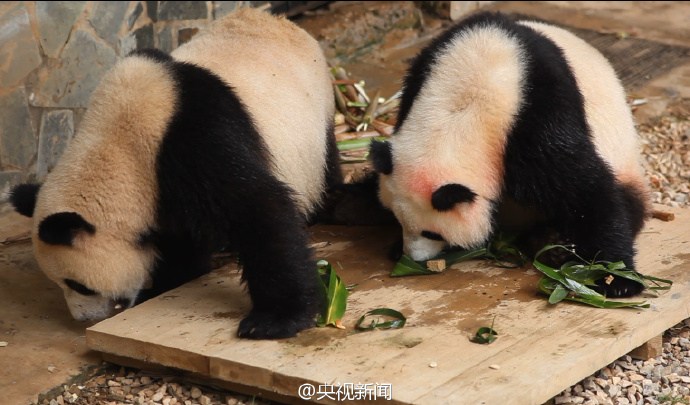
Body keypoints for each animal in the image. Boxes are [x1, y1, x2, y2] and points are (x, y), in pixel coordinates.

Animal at [8, 7, 342, 340]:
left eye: (79, 285)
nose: (82, 318)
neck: (117, 149)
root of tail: (279, 20)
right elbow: (177, 236)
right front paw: (170, 278)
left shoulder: (194, 142)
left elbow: (259, 208)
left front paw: (275, 319)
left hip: (315, 125)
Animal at [368, 11, 648, 296]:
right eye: (398, 220)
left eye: (433, 233)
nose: (413, 257)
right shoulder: (425, 70)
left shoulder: (535, 113)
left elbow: (580, 187)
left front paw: (616, 277)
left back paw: (553, 245)